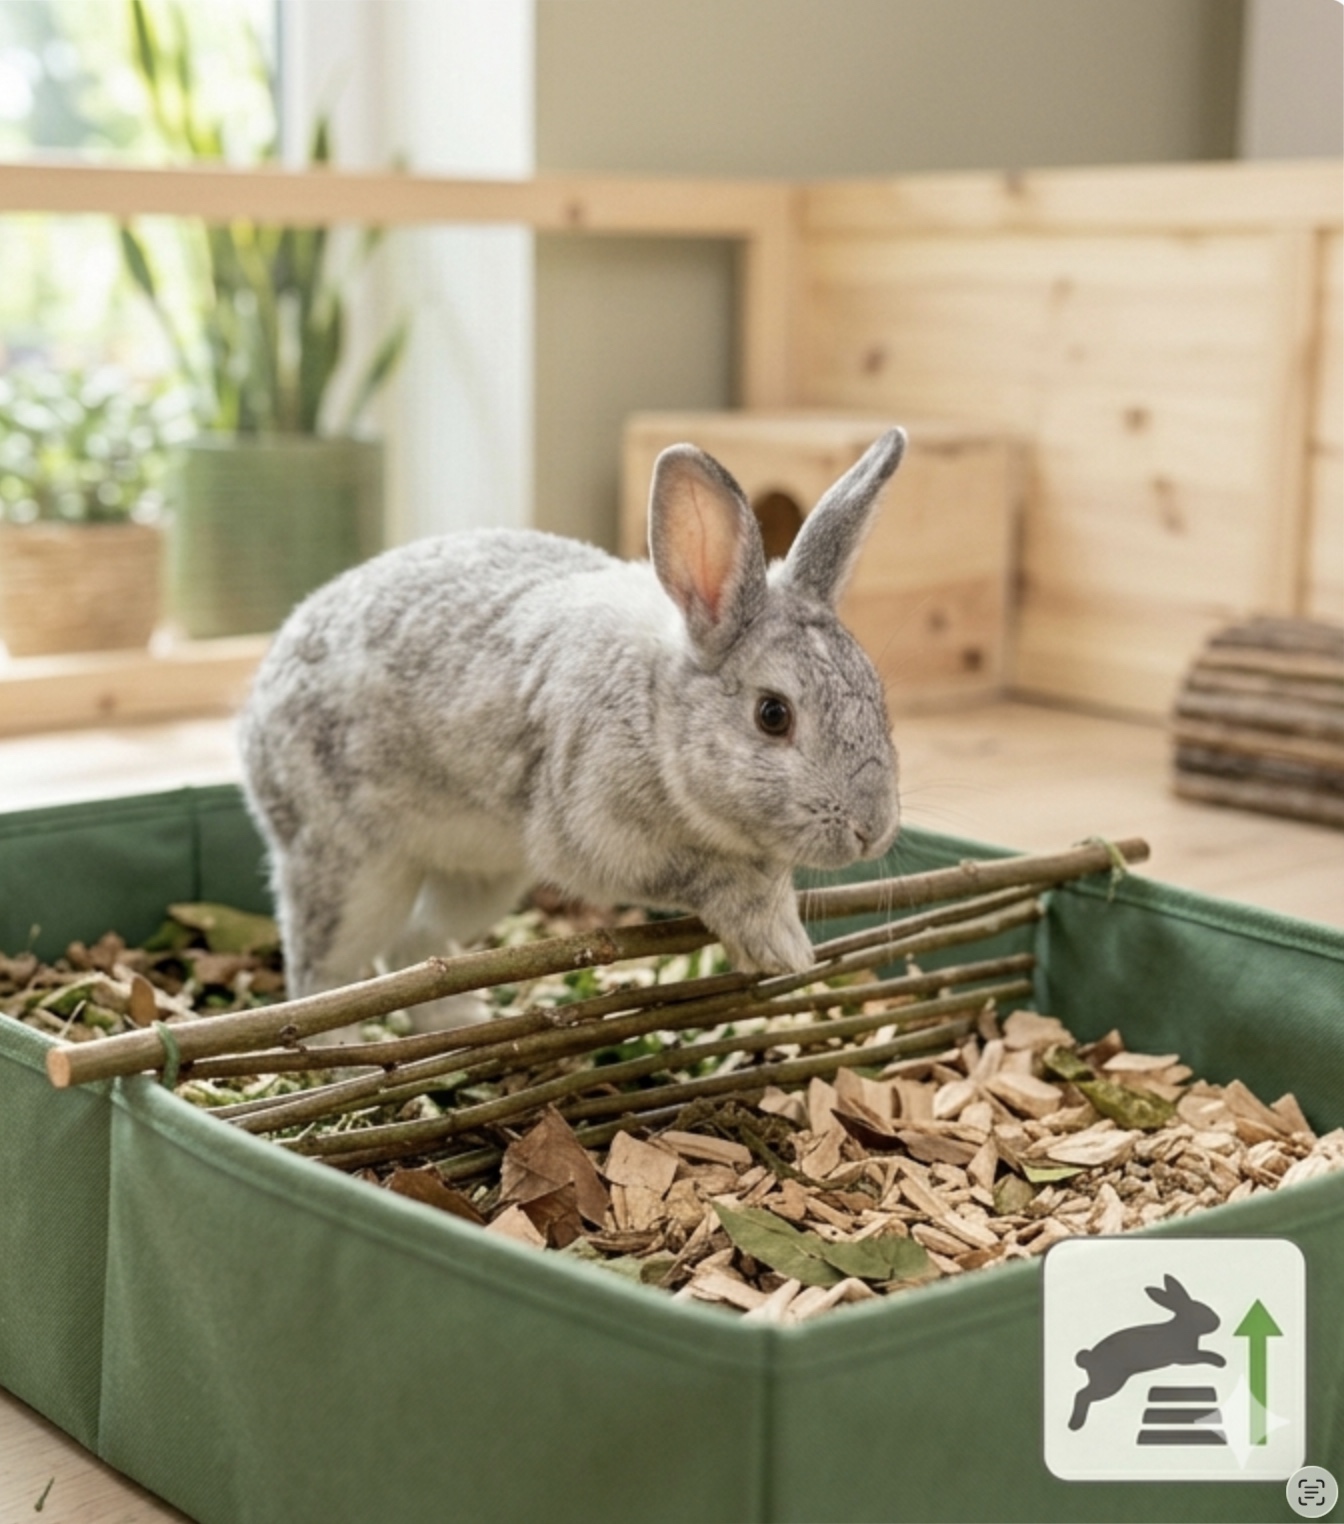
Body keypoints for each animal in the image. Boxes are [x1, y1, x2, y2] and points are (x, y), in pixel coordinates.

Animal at [238, 426, 907, 1030]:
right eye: (773, 715)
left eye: (879, 697)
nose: (871, 831)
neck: (655, 709)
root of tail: (255, 714)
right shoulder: (599, 834)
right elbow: (707, 876)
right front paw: (779, 942)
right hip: (350, 872)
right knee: (324, 976)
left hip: (483, 880)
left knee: (418, 947)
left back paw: (461, 1017)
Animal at [1068, 1274, 1226, 1430]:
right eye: (1202, 1311)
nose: (1217, 1322)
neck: (1184, 1326)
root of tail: (1088, 1357)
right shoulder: (1185, 1357)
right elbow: (1204, 1354)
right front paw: (1220, 1361)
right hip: (1108, 1382)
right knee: (1082, 1394)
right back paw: (1075, 1424)